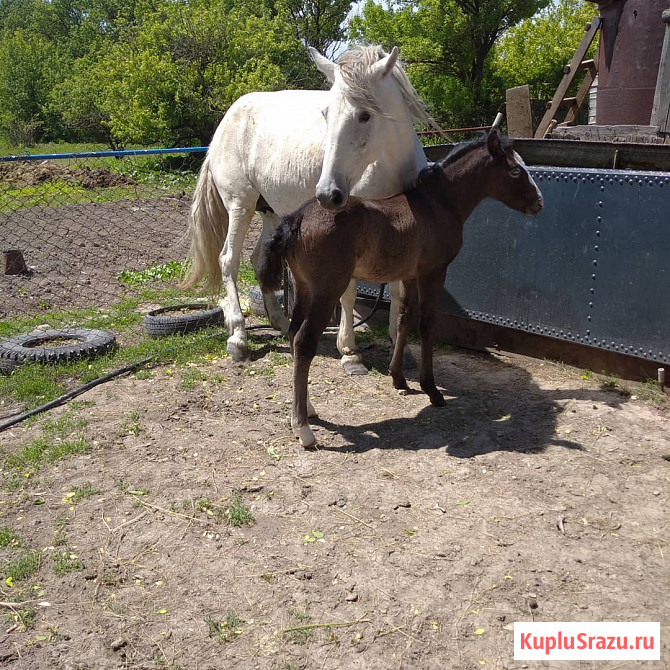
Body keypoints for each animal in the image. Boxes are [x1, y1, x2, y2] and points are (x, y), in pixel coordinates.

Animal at [181, 45, 440, 376]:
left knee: (260, 260)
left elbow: (397, 289)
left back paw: (280, 323)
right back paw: (238, 337)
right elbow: (348, 292)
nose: (329, 194)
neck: (387, 164)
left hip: (271, 214)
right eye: (326, 114)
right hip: (240, 206)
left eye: (365, 115)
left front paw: (400, 349)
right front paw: (350, 353)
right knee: (229, 260)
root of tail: (228, 118)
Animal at [258, 129, 544, 448]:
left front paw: (399, 379)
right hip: (327, 289)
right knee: (304, 341)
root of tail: (295, 219)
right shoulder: (434, 272)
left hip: (304, 287)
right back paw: (303, 428)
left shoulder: (409, 276)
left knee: (293, 332)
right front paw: (432, 390)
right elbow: (427, 324)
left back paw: (307, 409)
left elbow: (404, 319)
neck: (438, 204)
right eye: (516, 170)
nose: (539, 203)